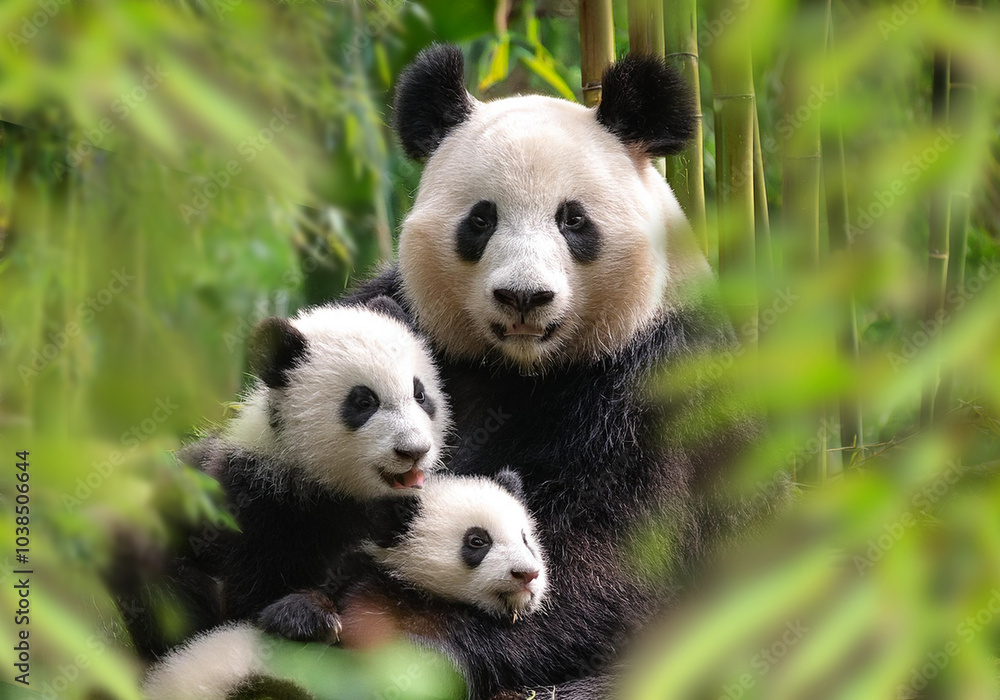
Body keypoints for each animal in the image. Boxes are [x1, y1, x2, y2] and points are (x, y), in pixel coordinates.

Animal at [142, 471, 548, 700]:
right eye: (478, 541)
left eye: (526, 538)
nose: (527, 574)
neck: (417, 590)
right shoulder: (359, 577)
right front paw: (310, 619)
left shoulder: (462, 632)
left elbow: (433, 666)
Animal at [184, 295, 451, 641]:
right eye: (363, 402)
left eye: (420, 394)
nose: (414, 451)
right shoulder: (253, 498)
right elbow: (252, 591)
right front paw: (305, 615)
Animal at [341, 45, 771, 698]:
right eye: (481, 220)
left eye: (573, 220)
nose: (524, 297)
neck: (523, 367)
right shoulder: (412, 323)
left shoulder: (650, 382)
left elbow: (599, 559)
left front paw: (412, 647)